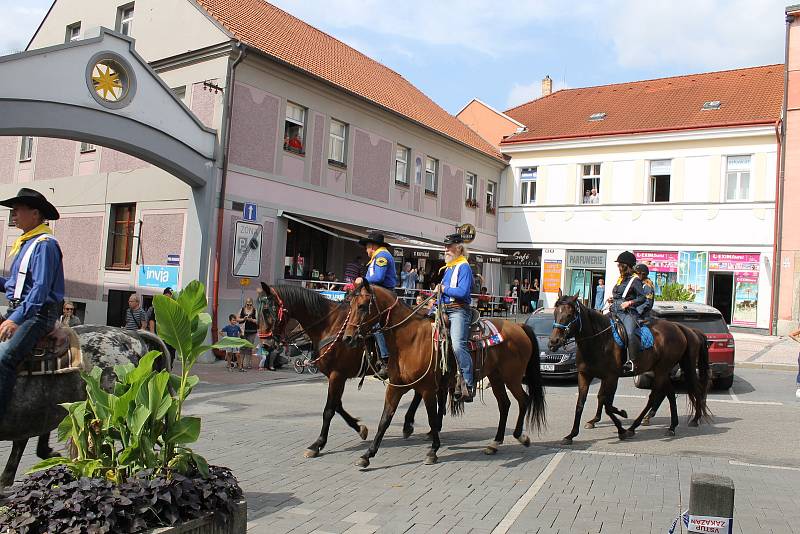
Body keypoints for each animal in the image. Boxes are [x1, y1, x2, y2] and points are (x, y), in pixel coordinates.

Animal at [340, 282, 548, 472]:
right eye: (350, 304)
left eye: (362, 306)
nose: (347, 338)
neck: (410, 339)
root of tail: (519, 326)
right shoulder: (396, 387)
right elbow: (385, 419)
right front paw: (367, 455)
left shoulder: (427, 389)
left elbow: (432, 418)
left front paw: (433, 451)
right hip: (496, 378)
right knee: (505, 405)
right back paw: (494, 444)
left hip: (512, 378)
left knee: (523, 400)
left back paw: (521, 436)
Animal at [552, 294, 708, 444]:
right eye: (555, 313)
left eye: (570, 315)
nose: (553, 342)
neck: (599, 341)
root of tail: (679, 328)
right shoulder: (585, 375)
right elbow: (582, 403)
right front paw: (571, 434)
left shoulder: (611, 377)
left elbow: (607, 404)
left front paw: (621, 426)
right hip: (662, 371)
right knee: (669, 393)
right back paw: (671, 426)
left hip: (664, 370)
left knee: (657, 396)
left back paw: (637, 426)